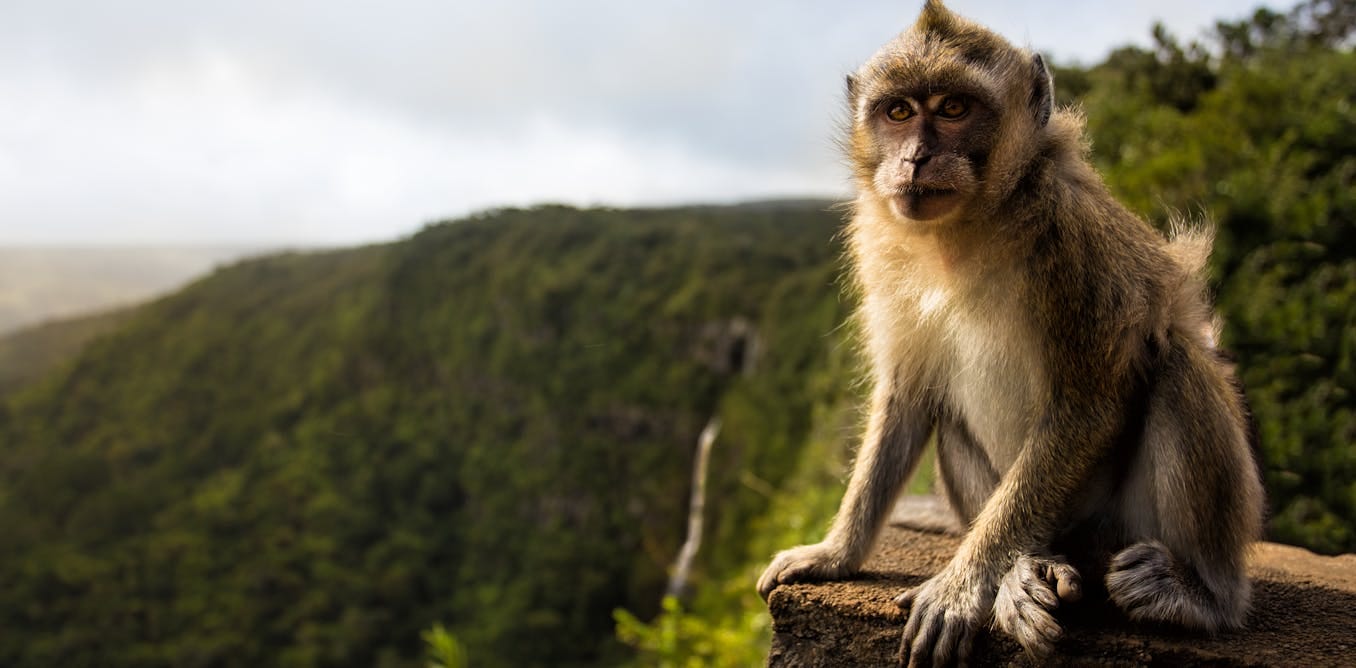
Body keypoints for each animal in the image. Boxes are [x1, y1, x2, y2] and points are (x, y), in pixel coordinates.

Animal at [755, 2, 1265, 665]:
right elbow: (908, 398)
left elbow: (1089, 405)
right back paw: (1030, 570)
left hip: (1123, 526)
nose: (914, 158)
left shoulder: (1073, 240)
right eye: (899, 112)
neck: (966, 229)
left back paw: (1203, 596)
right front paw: (834, 553)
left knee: (1177, 365)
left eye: (953, 108)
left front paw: (960, 586)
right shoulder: (881, 250)